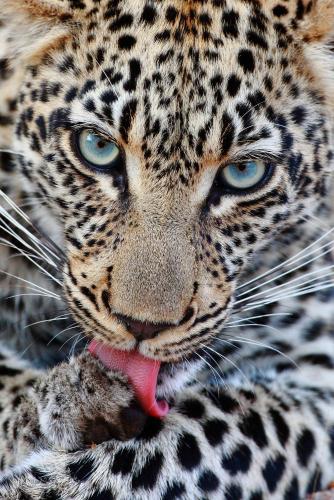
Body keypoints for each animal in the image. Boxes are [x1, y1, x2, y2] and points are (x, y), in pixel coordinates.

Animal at [0, 0, 334, 498]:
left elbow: (162, 452)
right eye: (97, 147)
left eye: (245, 173)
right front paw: (61, 397)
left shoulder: (316, 377)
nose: (142, 326)